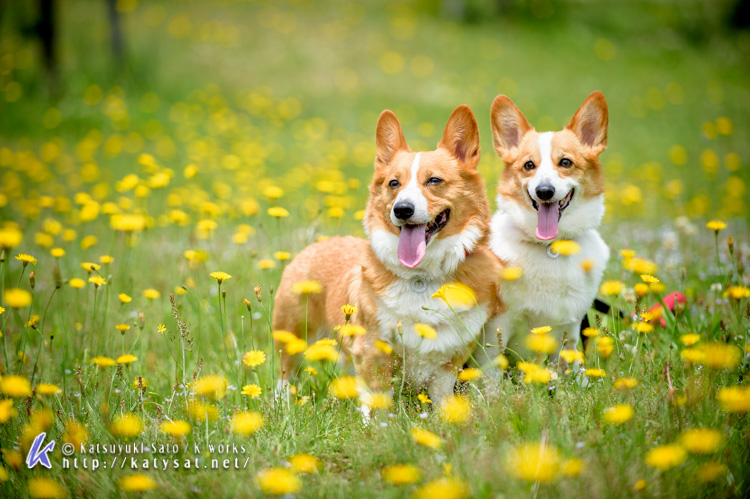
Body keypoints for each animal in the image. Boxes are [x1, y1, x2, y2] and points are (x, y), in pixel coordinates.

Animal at [274, 104, 502, 402]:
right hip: (292, 333)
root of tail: (320, 242)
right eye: (394, 183)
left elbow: (444, 399)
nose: (402, 209)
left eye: (434, 180)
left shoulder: (448, 359)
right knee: (285, 372)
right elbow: (378, 400)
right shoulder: (372, 350)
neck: (421, 276)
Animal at [488, 93, 612, 368]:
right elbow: (490, 367)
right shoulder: (499, 324)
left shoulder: (570, 327)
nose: (544, 191)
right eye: (528, 165)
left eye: (565, 162)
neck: (551, 247)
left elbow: (569, 366)